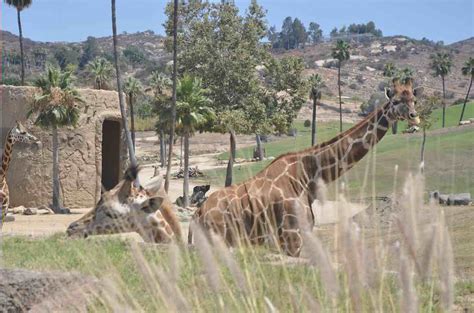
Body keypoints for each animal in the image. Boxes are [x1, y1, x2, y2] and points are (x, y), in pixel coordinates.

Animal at [189, 79, 422, 255]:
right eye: (396, 101)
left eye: (414, 100)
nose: (415, 117)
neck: (307, 176)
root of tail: (197, 216)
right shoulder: (292, 237)